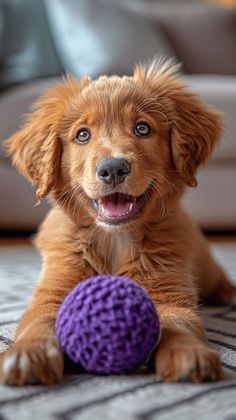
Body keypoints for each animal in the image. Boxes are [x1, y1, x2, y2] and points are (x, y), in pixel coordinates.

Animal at [0, 58, 235, 384]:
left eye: (142, 128)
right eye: (82, 135)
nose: (113, 169)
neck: (113, 239)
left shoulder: (171, 294)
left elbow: (179, 324)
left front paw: (190, 354)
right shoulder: (52, 292)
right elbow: (38, 322)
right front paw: (27, 354)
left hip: (205, 265)